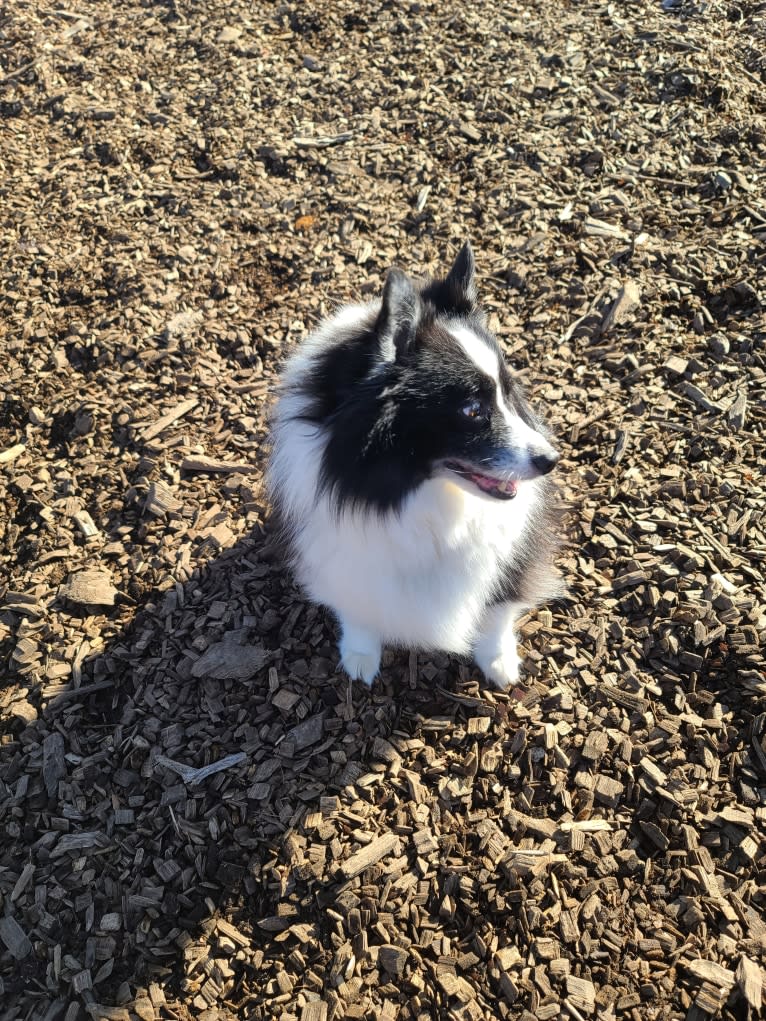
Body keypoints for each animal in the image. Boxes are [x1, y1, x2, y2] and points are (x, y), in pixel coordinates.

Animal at [269, 240, 563, 686]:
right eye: (472, 410)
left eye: (509, 394)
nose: (550, 460)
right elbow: (358, 610)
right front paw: (360, 654)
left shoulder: (510, 558)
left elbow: (496, 612)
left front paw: (499, 661)